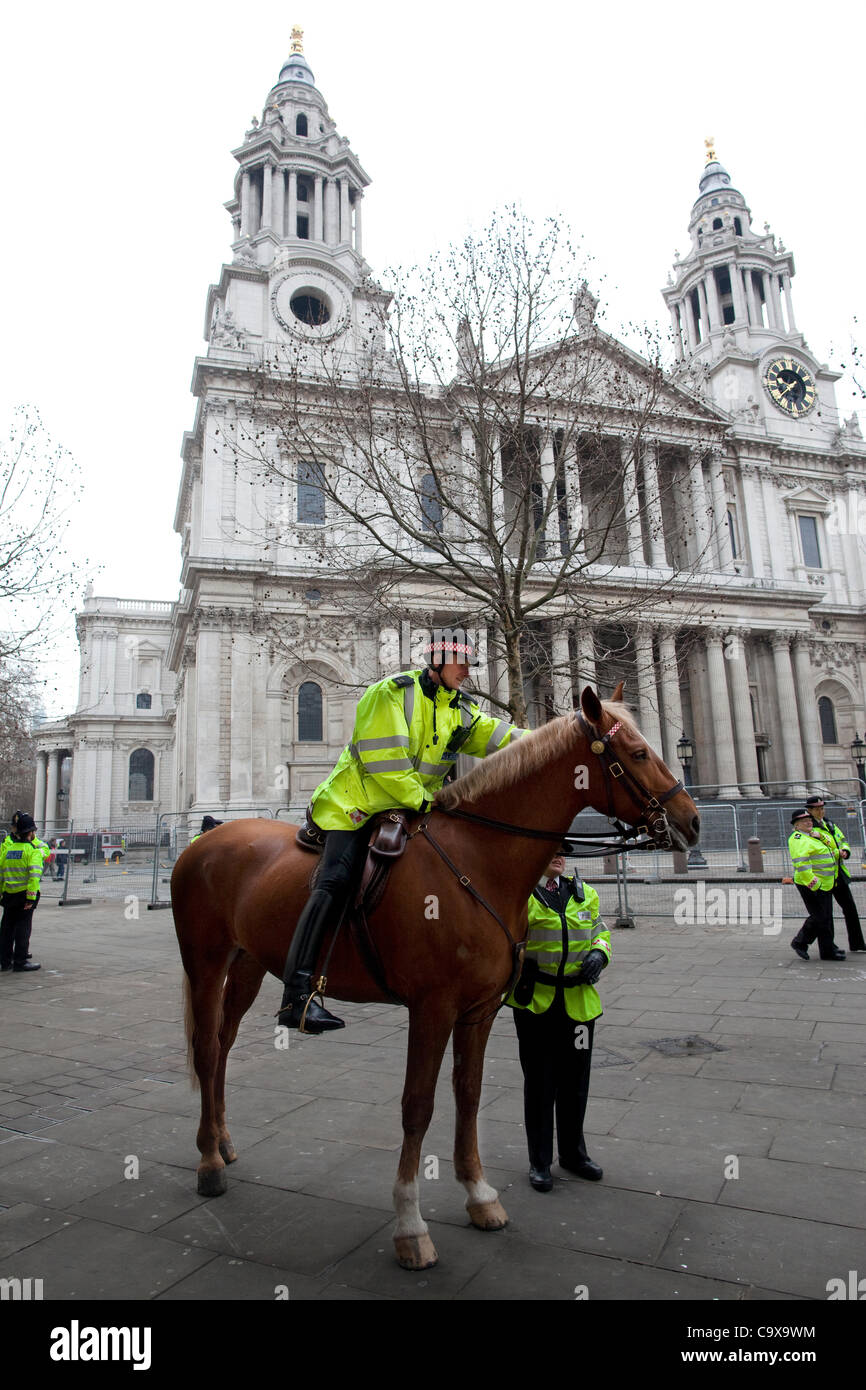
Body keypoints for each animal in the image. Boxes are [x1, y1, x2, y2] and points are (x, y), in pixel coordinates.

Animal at [171, 682, 700, 1270]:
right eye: (637, 754)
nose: (692, 820)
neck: (478, 861)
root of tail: (207, 839)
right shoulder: (432, 1007)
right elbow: (417, 1106)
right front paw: (410, 1226)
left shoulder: (479, 1010)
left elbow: (467, 1095)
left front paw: (480, 1197)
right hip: (204, 960)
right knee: (205, 1049)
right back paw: (208, 1164)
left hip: (248, 963)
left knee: (222, 1044)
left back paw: (223, 1144)